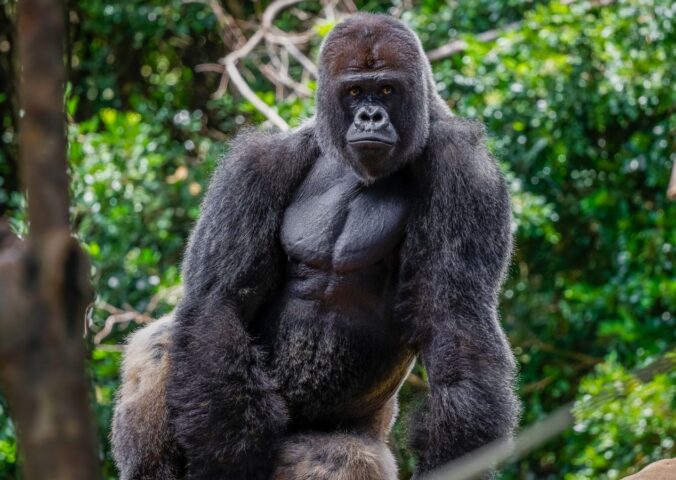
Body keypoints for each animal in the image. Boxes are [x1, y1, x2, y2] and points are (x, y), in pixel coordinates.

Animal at [112, 13, 519, 480]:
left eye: (387, 89)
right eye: (355, 91)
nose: (370, 116)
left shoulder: (468, 173)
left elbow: (456, 320)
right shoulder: (255, 164)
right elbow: (219, 300)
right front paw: (229, 455)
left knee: (341, 457)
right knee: (165, 341)